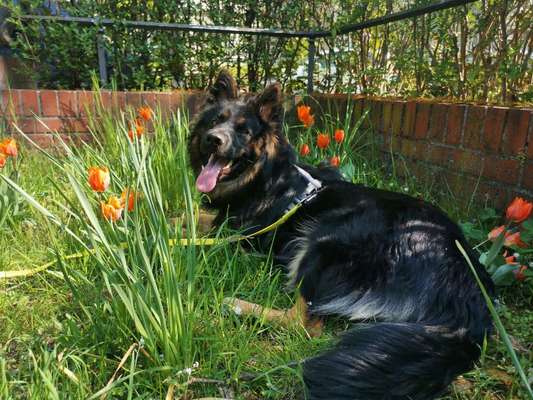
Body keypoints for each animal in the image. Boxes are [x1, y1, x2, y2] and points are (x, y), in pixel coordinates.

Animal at [188, 71, 494, 400]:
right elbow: (190, 215)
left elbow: (192, 223)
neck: (266, 176)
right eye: (215, 120)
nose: (213, 139)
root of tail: (469, 299)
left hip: (324, 242)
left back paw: (235, 304)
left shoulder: (234, 234)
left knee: (304, 323)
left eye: (244, 131)